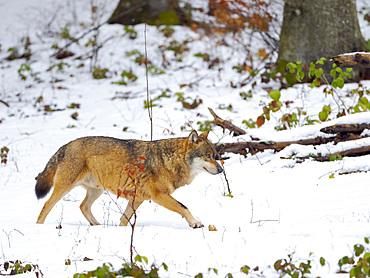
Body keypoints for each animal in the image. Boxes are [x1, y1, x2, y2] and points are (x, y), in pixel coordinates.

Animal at [34, 130, 223, 228]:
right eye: (207, 156)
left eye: (215, 155)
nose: (221, 170)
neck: (168, 160)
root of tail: (65, 146)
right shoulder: (159, 196)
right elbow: (183, 207)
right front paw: (195, 223)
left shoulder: (138, 198)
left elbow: (124, 220)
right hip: (64, 188)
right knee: (46, 206)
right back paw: (39, 227)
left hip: (97, 190)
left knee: (83, 206)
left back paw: (98, 226)